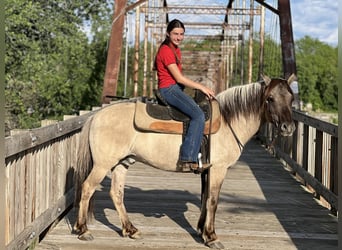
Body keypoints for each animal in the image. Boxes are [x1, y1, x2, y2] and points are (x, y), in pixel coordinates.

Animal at [73, 73, 296, 248]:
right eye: (270, 98)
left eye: (291, 98)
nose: (288, 127)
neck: (228, 120)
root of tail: (96, 116)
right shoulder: (218, 169)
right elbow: (213, 200)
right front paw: (212, 237)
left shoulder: (207, 170)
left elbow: (205, 198)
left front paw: (202, 231)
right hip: (102, 165)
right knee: (87, 188)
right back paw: (83, 230)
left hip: (122, 163)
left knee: (116, 193)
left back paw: (130, 229)